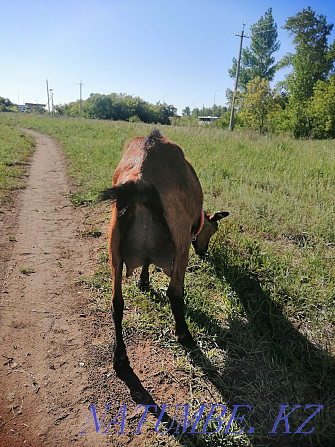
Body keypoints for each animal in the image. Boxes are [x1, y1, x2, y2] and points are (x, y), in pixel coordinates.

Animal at [109, 129, 230, 368]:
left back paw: (120, 355)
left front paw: (143, 282)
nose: (203, 252)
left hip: (114, 245)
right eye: (213, 230)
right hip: (180, 241)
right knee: (174, 291)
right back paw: (184, 334)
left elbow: (146, 262)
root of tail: (141, 179)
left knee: (116, 302)